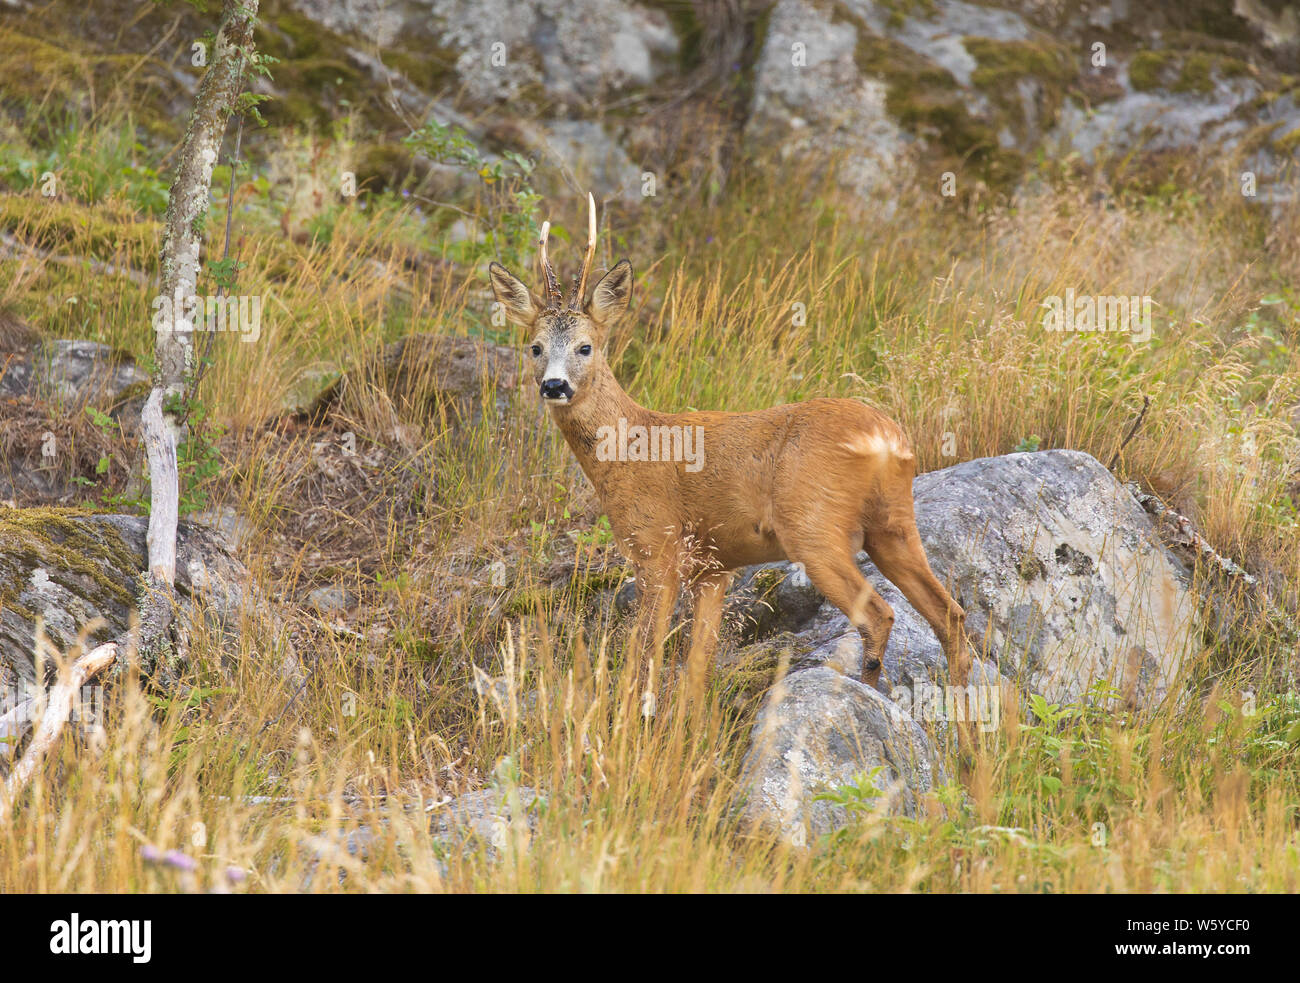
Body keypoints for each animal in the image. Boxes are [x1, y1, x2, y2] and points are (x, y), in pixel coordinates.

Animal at [489, 194, 972, 712]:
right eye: (535, 347)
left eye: (586, 346)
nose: (554, 385)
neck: (630, 446)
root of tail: (886, 436)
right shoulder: (714, 566)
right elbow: (698, 666)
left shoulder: (657, 545)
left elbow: (645, 651)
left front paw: (632, 719)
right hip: (894, 523)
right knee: (950, 614)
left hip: (813, 525)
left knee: (879, 614)